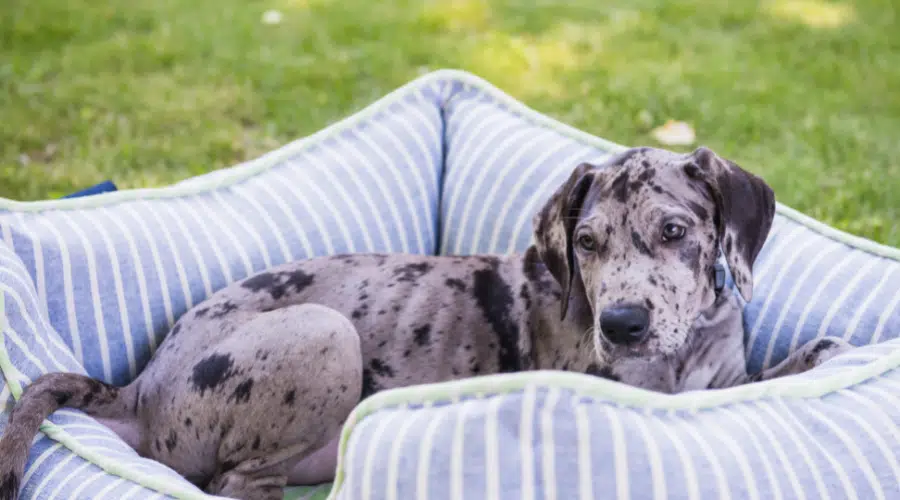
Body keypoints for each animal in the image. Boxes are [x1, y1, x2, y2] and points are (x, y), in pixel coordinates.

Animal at [0, 146, 856, 498]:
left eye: (675, 231)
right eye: (586, 243)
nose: (620, 323)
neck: (686, 351)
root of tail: (137, 388)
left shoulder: (727, 370)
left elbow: (788, 362)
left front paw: (826, 356)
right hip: (325, 334)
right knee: (230, 483)